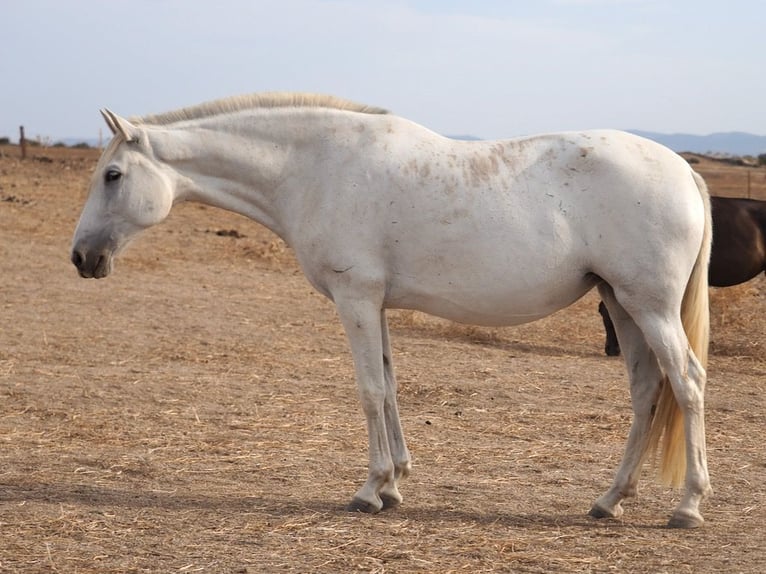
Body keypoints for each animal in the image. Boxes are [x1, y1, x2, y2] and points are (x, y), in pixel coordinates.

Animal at [72, 92, 712, 528]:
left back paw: (687, 506)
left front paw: (370, 488)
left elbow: (369, 390)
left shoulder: (355, 298)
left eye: (113, 175)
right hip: (621, 305)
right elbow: (391, 384)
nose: (81, 257)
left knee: (686, 383)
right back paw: (609, 500)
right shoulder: (375, 303)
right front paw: (396, 483)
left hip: (648, 307)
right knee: (646, 392)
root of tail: (685, 171)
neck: (316, 168)